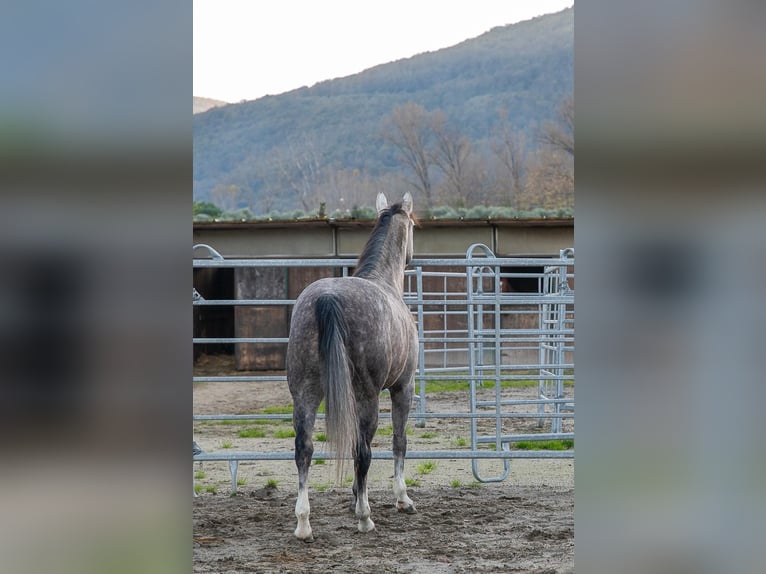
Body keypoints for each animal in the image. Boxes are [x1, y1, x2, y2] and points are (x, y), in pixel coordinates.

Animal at [286, 192, 419, 541]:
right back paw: (365, 517)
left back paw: (303, 524)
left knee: (304, 449)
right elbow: (399, 442)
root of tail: (327, 298)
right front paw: (402, 498)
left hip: (304, 394)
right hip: (366, 397)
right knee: (363, 449)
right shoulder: (403, 388)